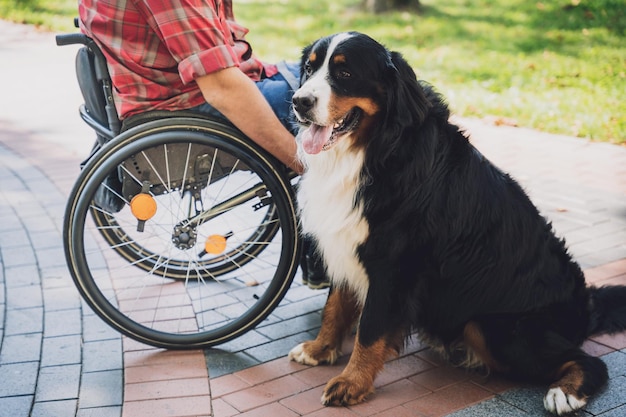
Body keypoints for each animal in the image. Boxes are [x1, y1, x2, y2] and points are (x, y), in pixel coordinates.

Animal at [286, 31, 624, 412]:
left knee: (589, 361)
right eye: (309, 68)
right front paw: (319, 349)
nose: (299, 102)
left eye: (344, 74)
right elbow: (335, 305)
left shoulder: (392, 266)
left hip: (497, 330)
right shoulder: (346, 241)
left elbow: (370, 329)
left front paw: (351, 382)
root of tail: (586, 305)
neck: (374, 152)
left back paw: (565, 392)